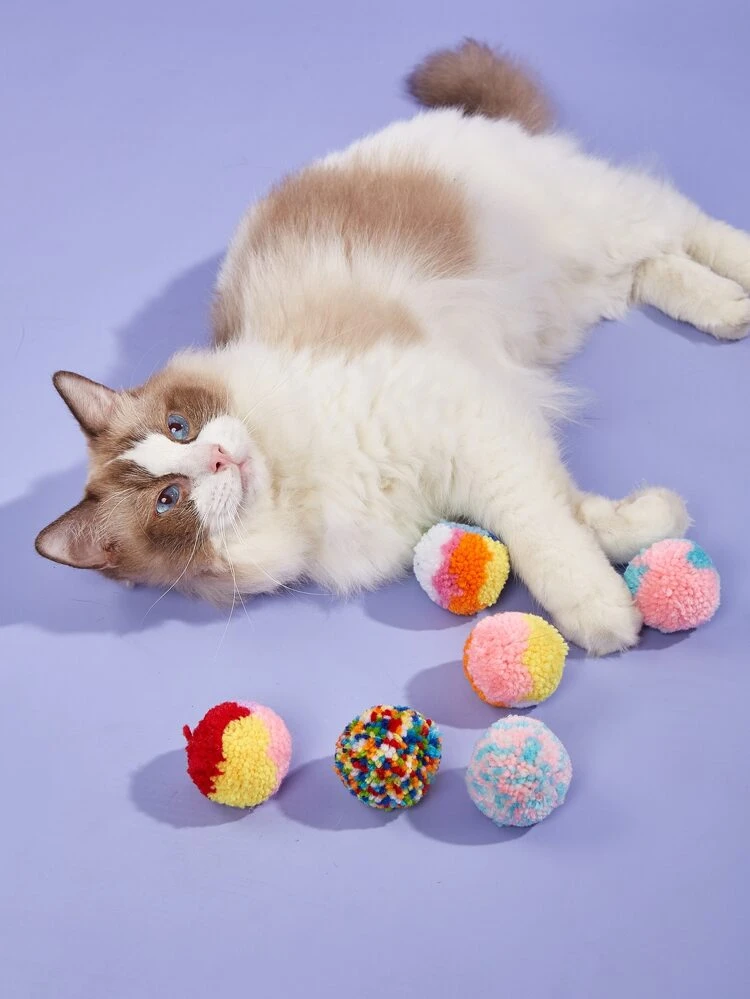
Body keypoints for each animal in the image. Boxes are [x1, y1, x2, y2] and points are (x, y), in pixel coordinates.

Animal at [35, 40, 750, 655]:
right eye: (169, 500)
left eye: (179, 426)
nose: (217, 458)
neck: (300, 474)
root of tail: (471, 119)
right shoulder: (484, 452)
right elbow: (578, 512)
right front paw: (652, 522)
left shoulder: (473, 425)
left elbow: (545, 535)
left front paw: (600, 612)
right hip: (582, 289)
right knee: (657, 268)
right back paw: (729, 311)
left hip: (597, 222)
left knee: (686, 225)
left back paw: (743, 276)